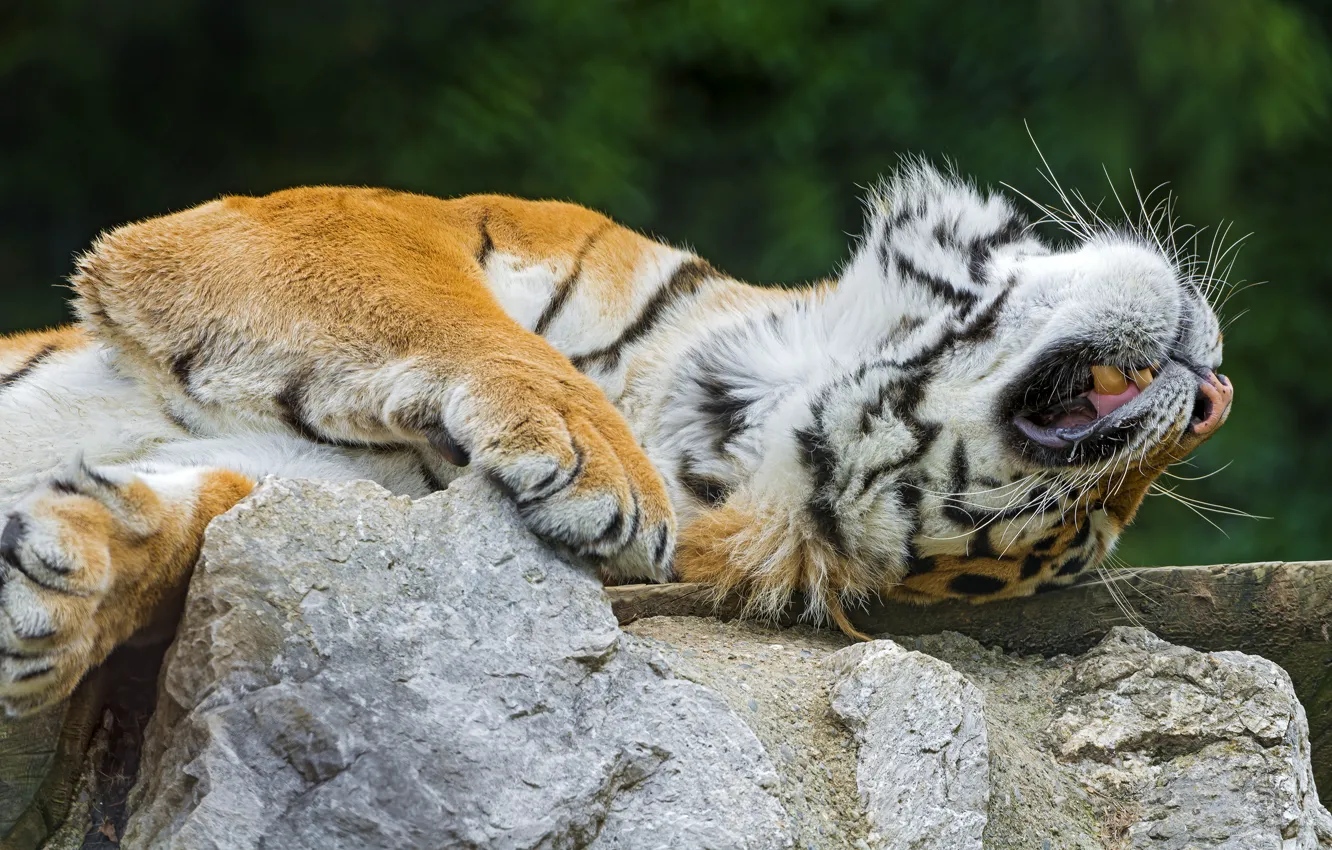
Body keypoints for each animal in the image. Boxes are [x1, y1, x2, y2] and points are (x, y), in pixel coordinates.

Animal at [0, 162, 1232, 717]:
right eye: (1102, 506)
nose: (1216, 398)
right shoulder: (323, 220)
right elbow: (449, 314)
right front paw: (598, 460)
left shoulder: (349, 485)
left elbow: (203, 511)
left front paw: (65, 590)